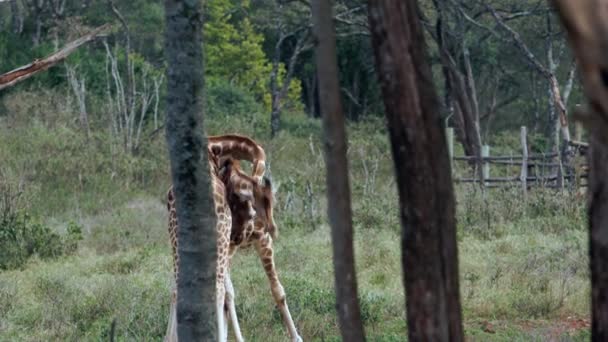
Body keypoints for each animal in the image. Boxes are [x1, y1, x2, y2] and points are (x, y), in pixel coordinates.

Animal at [166, 135, 302, 342]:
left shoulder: (234, 245)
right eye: (264, 200)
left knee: (180, 288)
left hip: (183, 243)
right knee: (216, 290)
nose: (272, 228)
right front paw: (296, 337)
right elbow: (277, 290)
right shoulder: (258, 241)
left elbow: (231, 293)